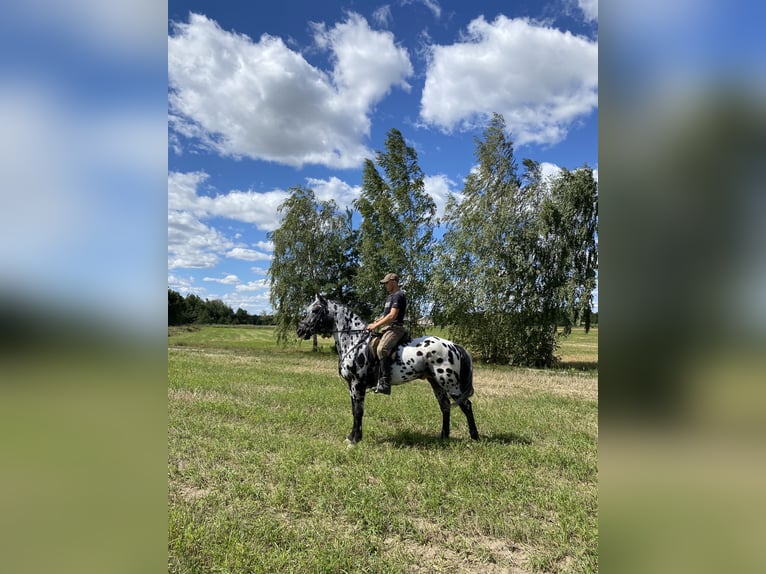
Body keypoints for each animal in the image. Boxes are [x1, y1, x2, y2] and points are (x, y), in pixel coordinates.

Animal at [296, 294, 480, 448]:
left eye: (315, 310)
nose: (300, 330)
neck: (355, 342)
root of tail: (452, 345)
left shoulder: (357, 384)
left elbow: (358, 411)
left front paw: (355, 440)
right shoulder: (351, 386)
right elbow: (354, 411)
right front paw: (351, 437)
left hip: (450, 383)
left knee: (466, 406)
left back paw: (475, 437)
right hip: (436, 382)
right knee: (445, 406)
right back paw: (444, 437)